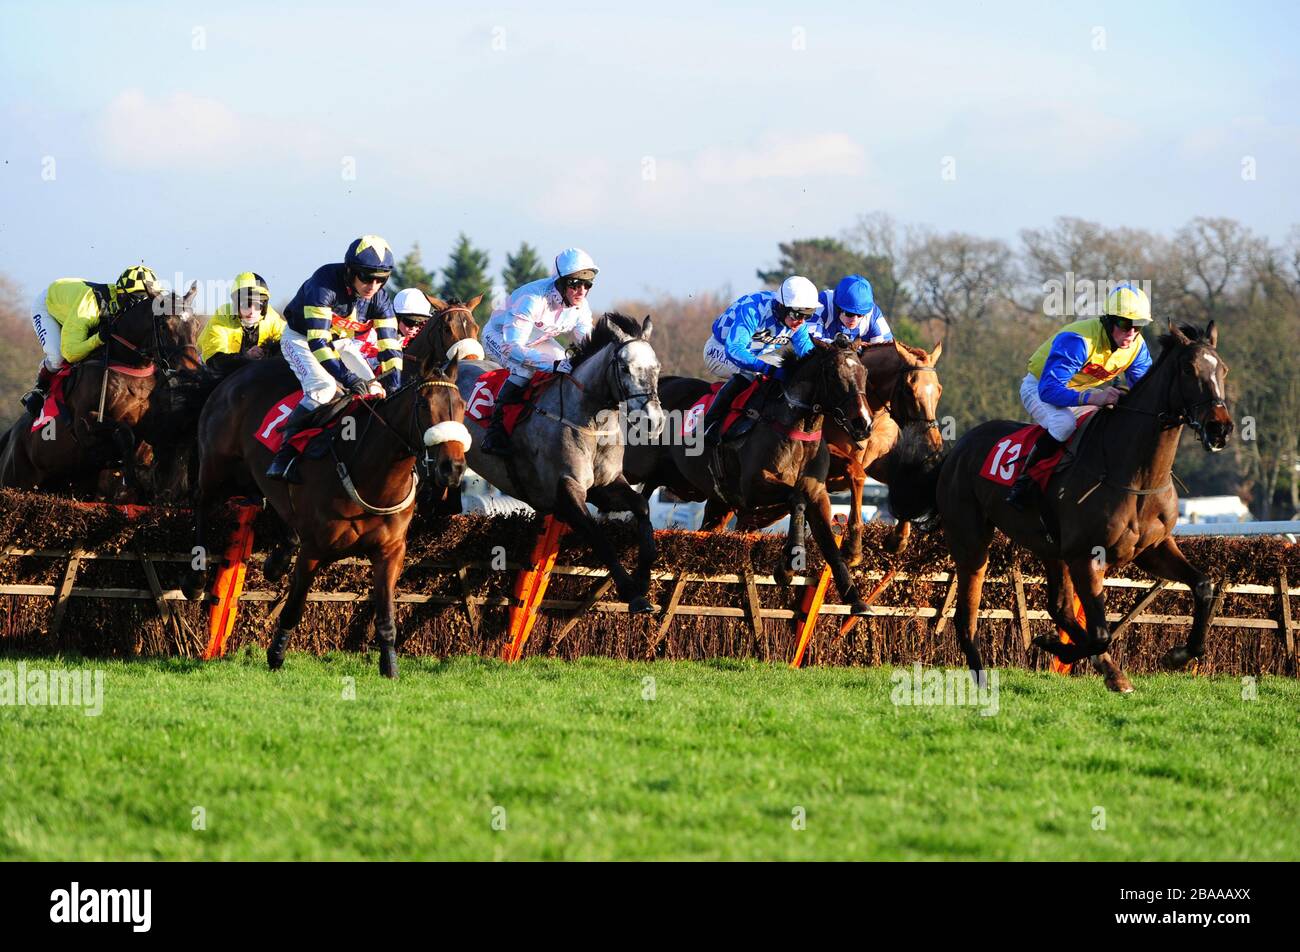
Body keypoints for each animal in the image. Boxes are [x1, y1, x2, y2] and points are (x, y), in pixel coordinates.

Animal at [0, 282, 202, 502]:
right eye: (165, 325)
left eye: (196, 326)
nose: (191, 370)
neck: (130, 365)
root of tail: (11, 435)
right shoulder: (85, 423)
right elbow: (125, 433)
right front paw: (131, 479)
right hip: (16, 479)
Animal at [183, 317, 467, 676]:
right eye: (424, 405)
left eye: (462, 408)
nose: (452, 468)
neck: (370, 473)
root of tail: (239, 372)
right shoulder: (314, 551)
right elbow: (293, 607)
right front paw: (276, 655)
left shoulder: (391, 552)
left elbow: (386, 617)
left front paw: (389, 667)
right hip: (216, 465)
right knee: (202, 503)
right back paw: (195, 579)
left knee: (269, 502)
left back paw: (277, 560)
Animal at [457, 310, 665, 608]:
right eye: (625, 368)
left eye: (657, 368)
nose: (654, 421)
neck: (590, 422)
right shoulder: (567, 490)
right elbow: (599, 538)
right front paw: (632, 593)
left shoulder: (605, 486)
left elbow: (642, 506)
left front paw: (644, 579)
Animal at [621, 335, 873, 613]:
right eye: (833, 373)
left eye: (864, 372)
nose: (863, 423)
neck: (796, 425)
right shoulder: (753, 488)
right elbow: (796, 498)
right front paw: (787, 567)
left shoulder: (817, 493)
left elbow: (828, 542)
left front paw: (854, 597)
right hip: (635, 466)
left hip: (690, 488)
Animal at [894, 321, 1227, 691]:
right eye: (1189, 369)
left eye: (1223, 370)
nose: (1220, 427)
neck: (1135, 475)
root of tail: (957, 450)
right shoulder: (1085, 556)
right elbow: (1100, 634)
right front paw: (1065, 650)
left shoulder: (1151, 548)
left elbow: (1203, 585)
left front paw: (1180, 654)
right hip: (971, 540)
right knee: (966, 614)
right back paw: (982, 678)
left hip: (1050, 548)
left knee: (1060, 607)